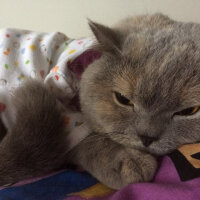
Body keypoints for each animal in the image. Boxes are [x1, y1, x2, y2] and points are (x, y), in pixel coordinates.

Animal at [0, 13, 200, 189]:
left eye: (188, 111)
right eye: (123, 99)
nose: (147, 137)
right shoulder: (64, 111)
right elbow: (90, 140)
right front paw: (128, 162)